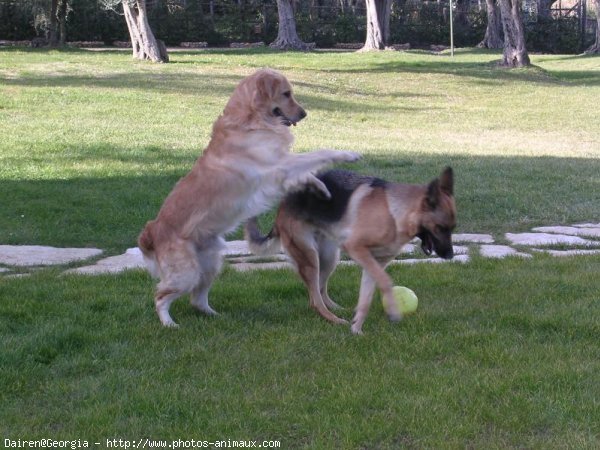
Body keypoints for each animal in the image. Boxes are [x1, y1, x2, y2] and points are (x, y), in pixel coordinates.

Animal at [138, 67, 358, 326]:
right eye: (286, 94)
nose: (304, 114)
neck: (250, 118)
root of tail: (151, 231)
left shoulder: (281, 168)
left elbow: (308, 173)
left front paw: (322, 189)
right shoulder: (278, 165)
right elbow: (318, 154)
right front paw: (348, 154)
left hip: (210, 263)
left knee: (197, 299)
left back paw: (215, 316)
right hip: (186, 272)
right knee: (160, 297)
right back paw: (169, 324)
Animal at [246, 168, 458, 334]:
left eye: (452, 228)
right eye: (440, 228)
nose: (450, 256)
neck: (394, 212)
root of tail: (282, 206)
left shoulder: (374, 264)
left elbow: (366, 298)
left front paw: (356, 329)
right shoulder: (357, 249)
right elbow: (386, 281)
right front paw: (392, 310)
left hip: (329, 257)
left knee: (318, 289)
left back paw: (336, 308)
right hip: (310, 257)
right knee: (314, 298)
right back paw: (332, 318)